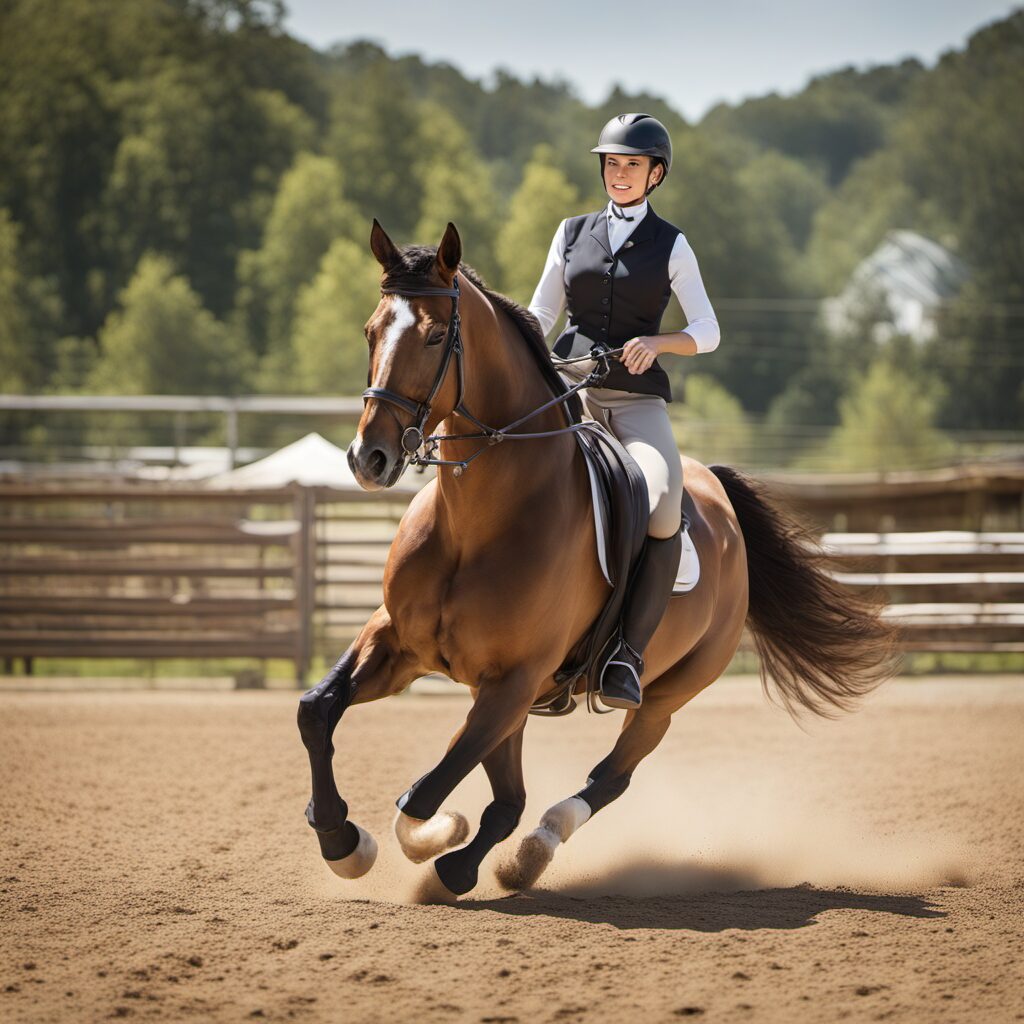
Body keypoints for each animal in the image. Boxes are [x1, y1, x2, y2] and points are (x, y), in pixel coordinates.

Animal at [297, 219, 895, 898]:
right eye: (371, 330)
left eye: (433, 335)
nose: (368, 459)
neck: (476, 523)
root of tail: (719, 497)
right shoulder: (402, 644)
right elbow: (317, 710)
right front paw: (344, 842)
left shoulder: (513, 681)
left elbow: (426, 794)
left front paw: (428, 838)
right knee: (510, 798)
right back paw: (486, 861)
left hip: (665, 694)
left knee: (607, 776)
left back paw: (527, 848)